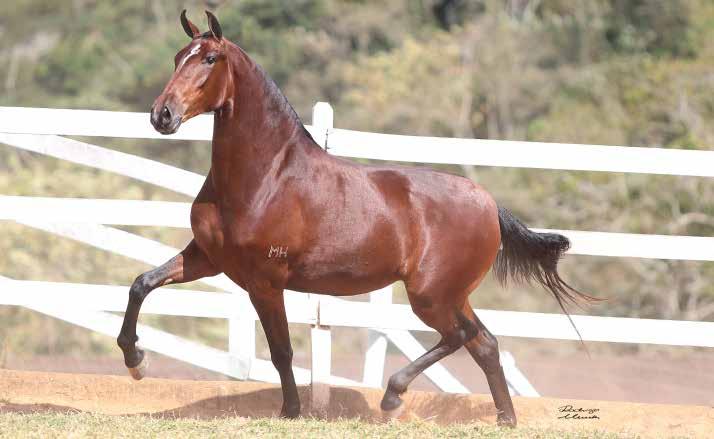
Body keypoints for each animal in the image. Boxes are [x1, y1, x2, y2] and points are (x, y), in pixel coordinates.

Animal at [118, 11, 596, 430]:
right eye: (178, 56)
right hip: (451, 295)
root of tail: (487, 202)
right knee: (486, 344)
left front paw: (291, 412)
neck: (266, 177)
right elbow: (142, 283)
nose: (162, 115)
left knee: (460, 338)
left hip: (430, 296)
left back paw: (393, 396)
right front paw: (136, 361)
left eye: (209, 59)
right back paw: (504, 419)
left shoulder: (265, 281)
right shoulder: (208, 259)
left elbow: (282, 351)